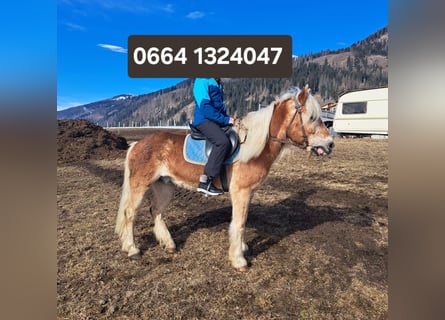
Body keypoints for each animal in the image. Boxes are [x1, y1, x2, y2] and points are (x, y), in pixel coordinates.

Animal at [114, 84, 332, 272]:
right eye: (312, 117)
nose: (330, 144)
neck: (254, 147)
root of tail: (136, 144)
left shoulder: (249, 192)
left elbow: (243, 219)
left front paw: (242, 249)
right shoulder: (241, 192)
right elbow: (239, 223)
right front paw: (238, 260)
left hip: (164, 186)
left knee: (156, 211)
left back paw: (168, 244)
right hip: (140, 185)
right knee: (130, 213)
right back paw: (132, 249)